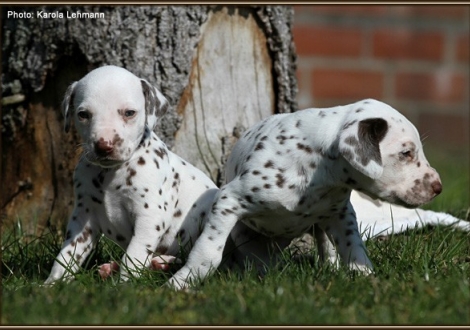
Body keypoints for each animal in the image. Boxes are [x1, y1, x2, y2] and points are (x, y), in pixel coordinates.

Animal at [43, 65, 217, 284]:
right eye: (83, 114)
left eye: (129, 113)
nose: (104, 145)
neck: (110, 174)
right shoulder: (83, 217)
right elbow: (66, 255)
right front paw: (52, 283)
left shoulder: (149, 217)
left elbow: (133, 255)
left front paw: (123, 284)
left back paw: (163, 263)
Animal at [168, 98, 440, 288]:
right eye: (406, 153)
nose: (438, 187)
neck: (316, 169)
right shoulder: (229, 200)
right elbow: (208, 251)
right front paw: (184, 280)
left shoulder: (341, 214)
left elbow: (353, 246)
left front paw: (364, 275)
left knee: (325, 248)